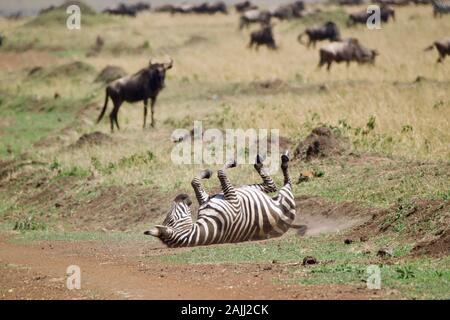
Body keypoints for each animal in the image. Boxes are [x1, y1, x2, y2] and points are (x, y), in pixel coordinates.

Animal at [144, 152, 298, 248]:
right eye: (171, 219)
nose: (182, 196)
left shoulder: (206, 200)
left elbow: (195, 182)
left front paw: (206, 173)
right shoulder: (234, 203)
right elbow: (221, 173)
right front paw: (230, 163)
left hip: (246, 189)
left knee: (270, 185)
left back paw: (259, 162)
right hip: (285, 197)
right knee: (281, 183)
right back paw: (281, 161)